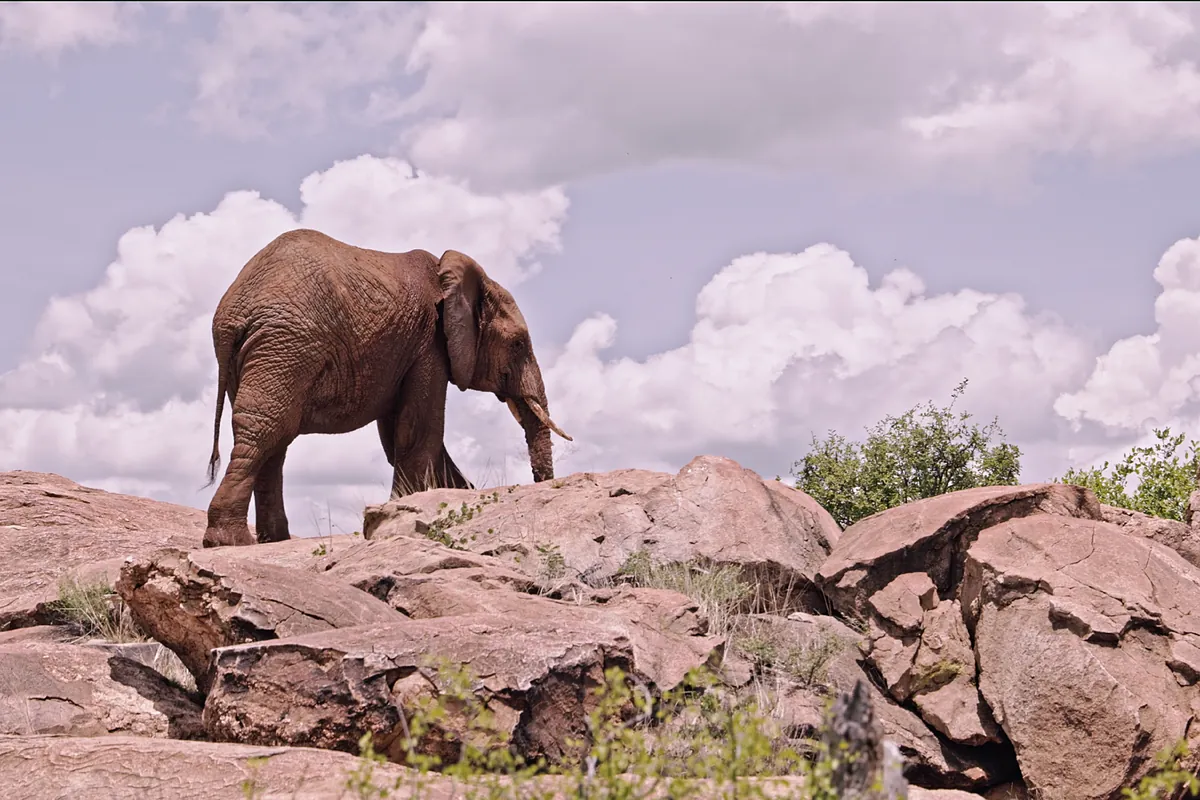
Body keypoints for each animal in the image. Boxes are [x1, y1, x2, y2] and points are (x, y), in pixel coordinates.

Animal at [201, 228, 571, 548]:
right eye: (519, 344)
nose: (539, 481)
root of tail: (234, 314)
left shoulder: (402, 349)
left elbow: (396, 432)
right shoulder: (429, 342)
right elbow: (417, 428)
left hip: (263, 353)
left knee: (273, 439)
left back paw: (271, 541)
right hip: (288, 347)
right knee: (267, 429)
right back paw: (231, 542)